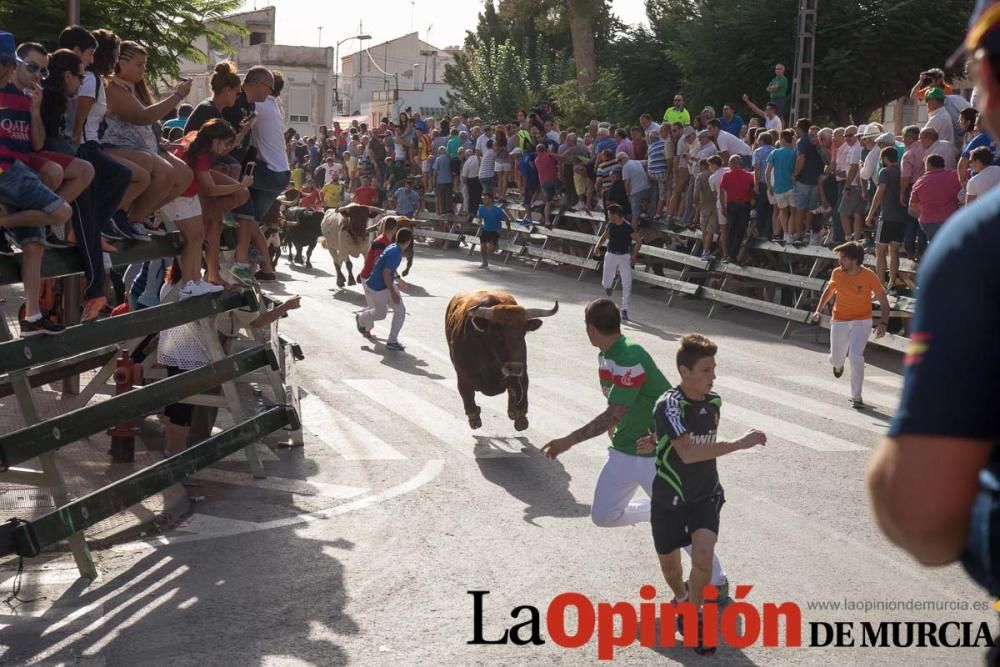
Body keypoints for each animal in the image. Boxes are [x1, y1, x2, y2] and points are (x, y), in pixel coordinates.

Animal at [444, 290, 560, 430]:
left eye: (523, 331)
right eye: (498, 330)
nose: (514, 367)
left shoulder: (522, 370)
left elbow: (522, 392)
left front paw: (520, 418)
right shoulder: (462, 376)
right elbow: (468, 399)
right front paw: (474, 418)